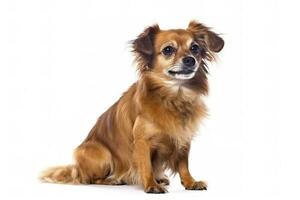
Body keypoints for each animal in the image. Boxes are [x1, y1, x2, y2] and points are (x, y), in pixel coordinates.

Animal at [39, 21, 224, 193]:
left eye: (195, 48)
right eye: (168, 50)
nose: (190, 60)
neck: (173, 96)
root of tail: (77, 168)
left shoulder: (183, 136)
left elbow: (183, 164)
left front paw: (190, 182)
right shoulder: (142, 141)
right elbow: (146, 165)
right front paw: (151, 185)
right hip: (101, 153)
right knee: (91, 179)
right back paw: (113, 180)